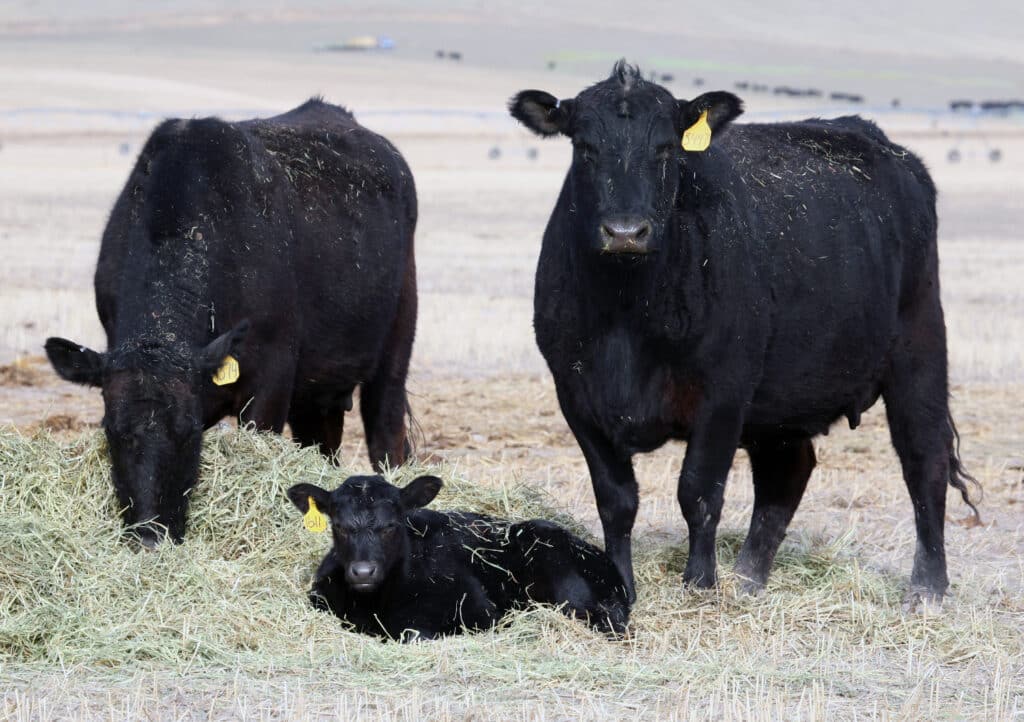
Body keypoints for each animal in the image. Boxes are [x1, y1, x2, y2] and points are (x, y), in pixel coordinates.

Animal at [45, 98, 418, 547]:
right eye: (111, 431)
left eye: (189, 432)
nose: (150, 537)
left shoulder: (272, 377)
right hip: (318, 391)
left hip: (395, 346)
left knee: (387, 437)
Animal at [509, 61, 978, 608]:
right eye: (585, 147)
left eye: (665, 148)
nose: (625, 232)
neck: (627, 317)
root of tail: (885, 147)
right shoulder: (577, 396)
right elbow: (617, 500)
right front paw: (623, 583)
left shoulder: (723, 394)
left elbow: (698, 492)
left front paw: (700, 585)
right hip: (783, 398)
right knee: (786, 473)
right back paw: (749, 579)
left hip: (919, 347)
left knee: (925, 461)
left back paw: (927, 588)